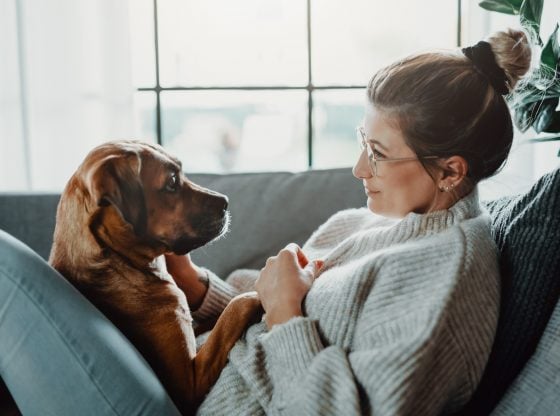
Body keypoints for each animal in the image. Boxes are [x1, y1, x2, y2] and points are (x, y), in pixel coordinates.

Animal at [48, 141, 262, 414]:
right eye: (172, 182)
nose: (226, 202)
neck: (119, 262)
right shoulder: (189, 383)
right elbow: (234, 309)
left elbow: (216, 319)